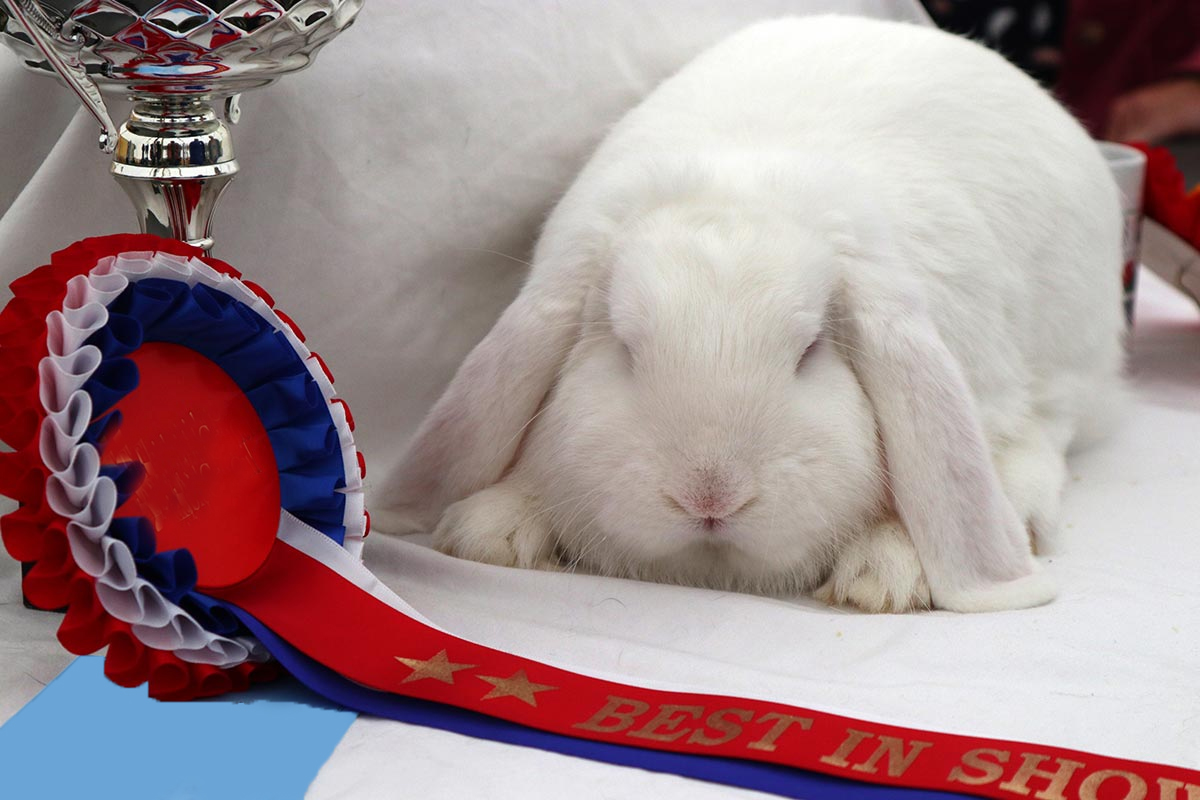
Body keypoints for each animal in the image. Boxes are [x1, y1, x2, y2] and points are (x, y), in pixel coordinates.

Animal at [374, 15, 1125, 613]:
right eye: (623, 347)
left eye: (811, 351)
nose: (711, 498)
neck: (739, 189)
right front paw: (491, 531)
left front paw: (884, 574)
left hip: (1072, 355)